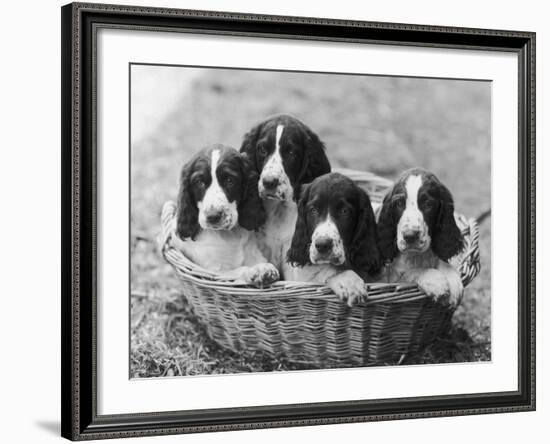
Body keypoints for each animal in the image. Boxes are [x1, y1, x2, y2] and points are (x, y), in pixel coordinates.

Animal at [171, 145, 280, 288]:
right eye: (199, 182)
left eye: (229, 180)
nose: (213, 216)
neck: (229, 235)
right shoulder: (214, 272)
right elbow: (238, 270)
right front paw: (256, 271)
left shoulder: (254, 253)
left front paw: (263, 268)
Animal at [380, 167, 466, 306]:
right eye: (399, 203)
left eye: (428, 204)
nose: (410, 236)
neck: (416, 256)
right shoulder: (389, 279)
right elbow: (409, 274)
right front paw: (436, 281)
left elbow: (442, 261)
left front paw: (453, 280)